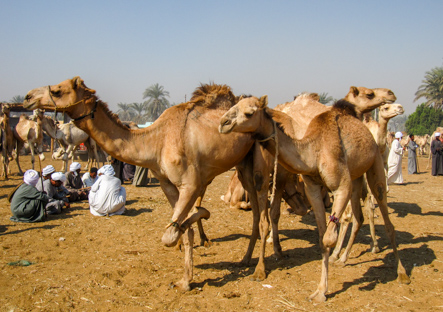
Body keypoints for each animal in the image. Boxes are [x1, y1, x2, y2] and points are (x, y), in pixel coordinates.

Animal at [23, 77, 270, 292]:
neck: (156, 141)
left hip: (256, 157)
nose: (27, 97)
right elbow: (179, 230)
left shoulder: (189, 183)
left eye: (58, 90)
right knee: (254, 209)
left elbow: (170, 233)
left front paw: (202, 215)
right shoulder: (166, 183)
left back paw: (258, 267)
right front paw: (185, 280)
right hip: (239, 163)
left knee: (260, 207)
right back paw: (245, 258)